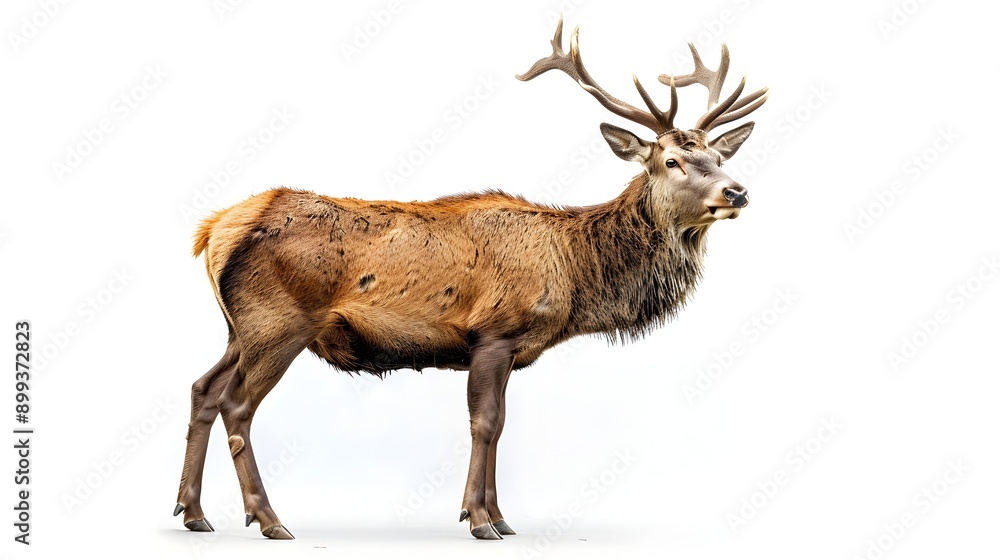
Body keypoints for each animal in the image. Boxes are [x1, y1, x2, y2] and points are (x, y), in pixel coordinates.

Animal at [172, 17, 768, 540]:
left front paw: (501, 518)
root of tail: (213, 231)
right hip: (280, 322)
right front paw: (479, 521)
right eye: (670, 161)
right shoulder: (493, 332)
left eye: (717, 156)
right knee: (237, 406)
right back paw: (268, 520)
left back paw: (193, 513)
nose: (736, 192)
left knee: (204, 388)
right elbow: (485, 423)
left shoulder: (509, 347)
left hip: (240, 328)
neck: (575, 272)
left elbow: (500, 424)